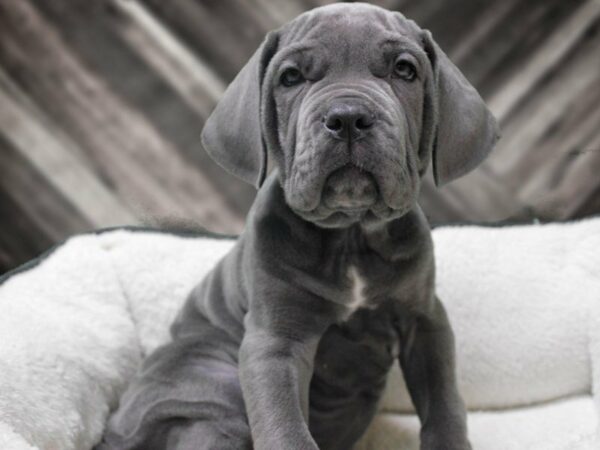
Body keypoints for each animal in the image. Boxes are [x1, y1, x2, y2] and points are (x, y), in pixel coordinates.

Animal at [98, 3, 500, 450]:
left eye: (404, 70)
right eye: (290, 77)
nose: (348, 117)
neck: (351, 236)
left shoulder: (425, 320)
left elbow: (444, 405)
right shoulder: (275, 343)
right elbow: (285, 428)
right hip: (217, 380)